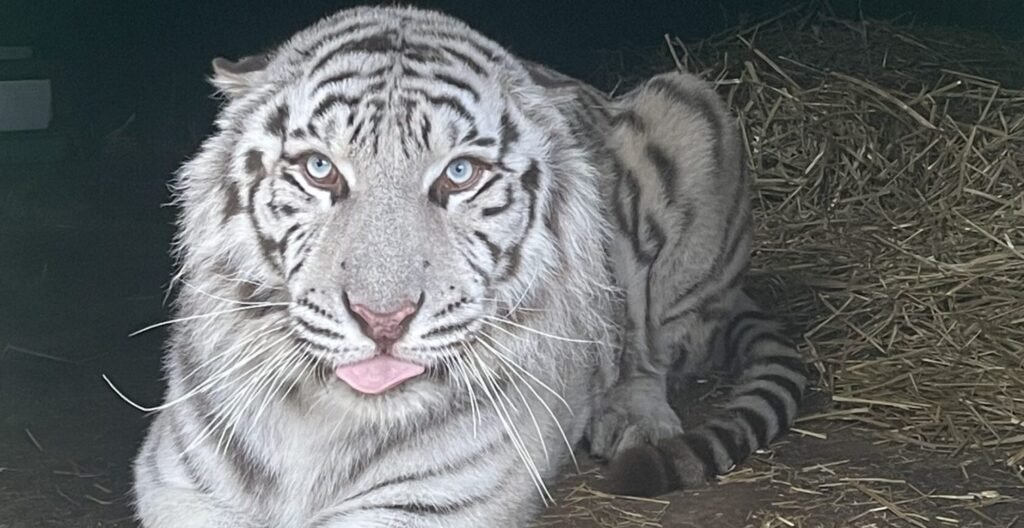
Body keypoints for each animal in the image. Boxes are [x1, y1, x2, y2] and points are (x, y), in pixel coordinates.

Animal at [131, 5, 806, 527]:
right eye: (320, 169)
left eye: (460, 174)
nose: (382, 319)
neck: (320, 417)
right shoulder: (181, 486)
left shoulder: (426, 501)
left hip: (689, 105)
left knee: (646, 348)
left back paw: (638, 421)